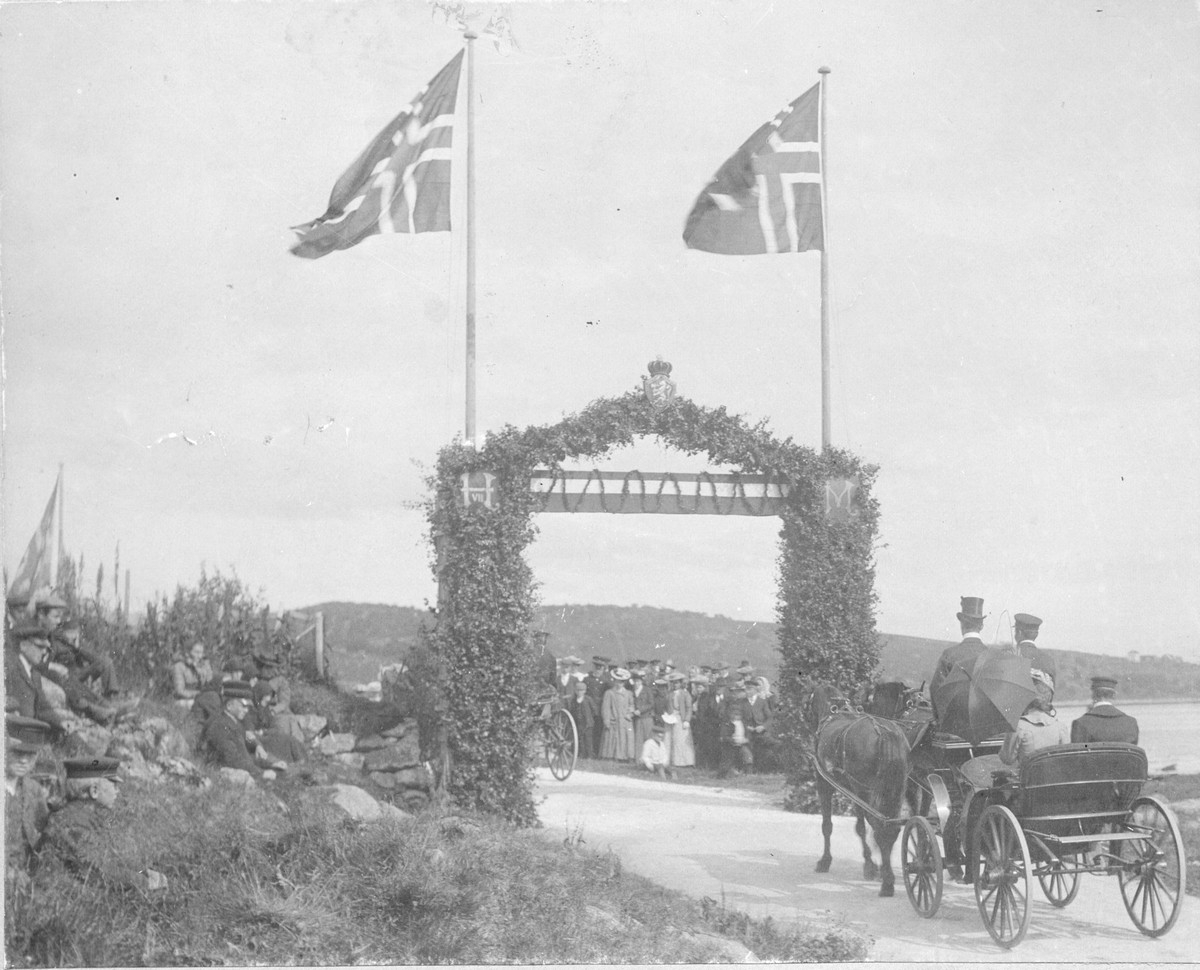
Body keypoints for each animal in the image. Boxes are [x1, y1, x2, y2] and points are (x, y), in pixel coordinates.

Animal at [796, 681, 907, 893]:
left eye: (808, 700)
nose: (805, 716)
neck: (834, 714)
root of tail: (884, 731)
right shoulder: (854, 792)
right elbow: (860, 827)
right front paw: (871, 864)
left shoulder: (825, 784)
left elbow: (829, 826)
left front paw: (826, 861)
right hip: (891, 790)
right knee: (891, 828)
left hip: (863, 790)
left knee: (879, 827)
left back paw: (887, 878)